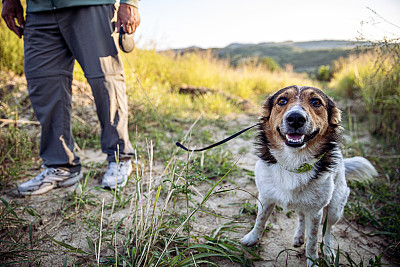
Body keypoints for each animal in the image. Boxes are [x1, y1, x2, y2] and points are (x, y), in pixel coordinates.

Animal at [241, 85, 378, 266]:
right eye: (282, 100)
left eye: (316, 102)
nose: (295, 118)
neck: (294, 162)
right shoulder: (266, 197)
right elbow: (260, 221)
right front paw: (252, 238)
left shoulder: (316, 212)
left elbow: (313, 240)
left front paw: (312, 260)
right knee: (301, 217)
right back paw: (299, 236)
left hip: (334, 208)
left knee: (329, 231)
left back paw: (329, 251)